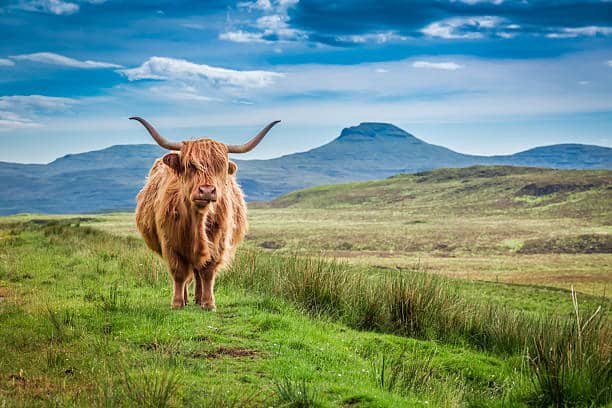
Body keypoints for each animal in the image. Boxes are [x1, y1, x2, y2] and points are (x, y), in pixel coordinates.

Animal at [133, 117, 280, 310]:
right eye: (190, 166)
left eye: (220, 168)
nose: (207, 191)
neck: (197, 220)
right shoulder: (170, 243)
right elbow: (179, 273)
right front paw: (177, 303)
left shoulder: (218, 242)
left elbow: (208, 272)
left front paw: (209, 303)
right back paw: (187, 298)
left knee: (197, 272)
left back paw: (198, 298)